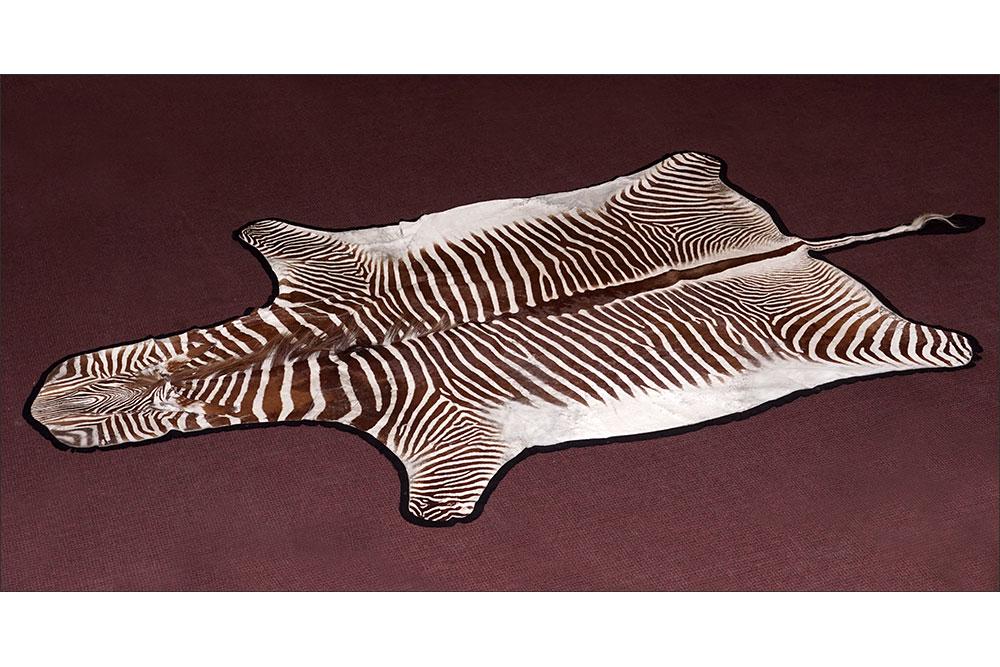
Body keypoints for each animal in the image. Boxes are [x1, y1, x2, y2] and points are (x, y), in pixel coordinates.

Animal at [28, 152, 982, 524]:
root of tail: (783, 242)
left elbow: (438, 504)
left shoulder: (450, 440)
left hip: (849, 337)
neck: (315, 352)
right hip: (682, 189)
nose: (39, 409)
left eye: (154, 415)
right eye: (92, 379)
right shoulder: (325, 267)